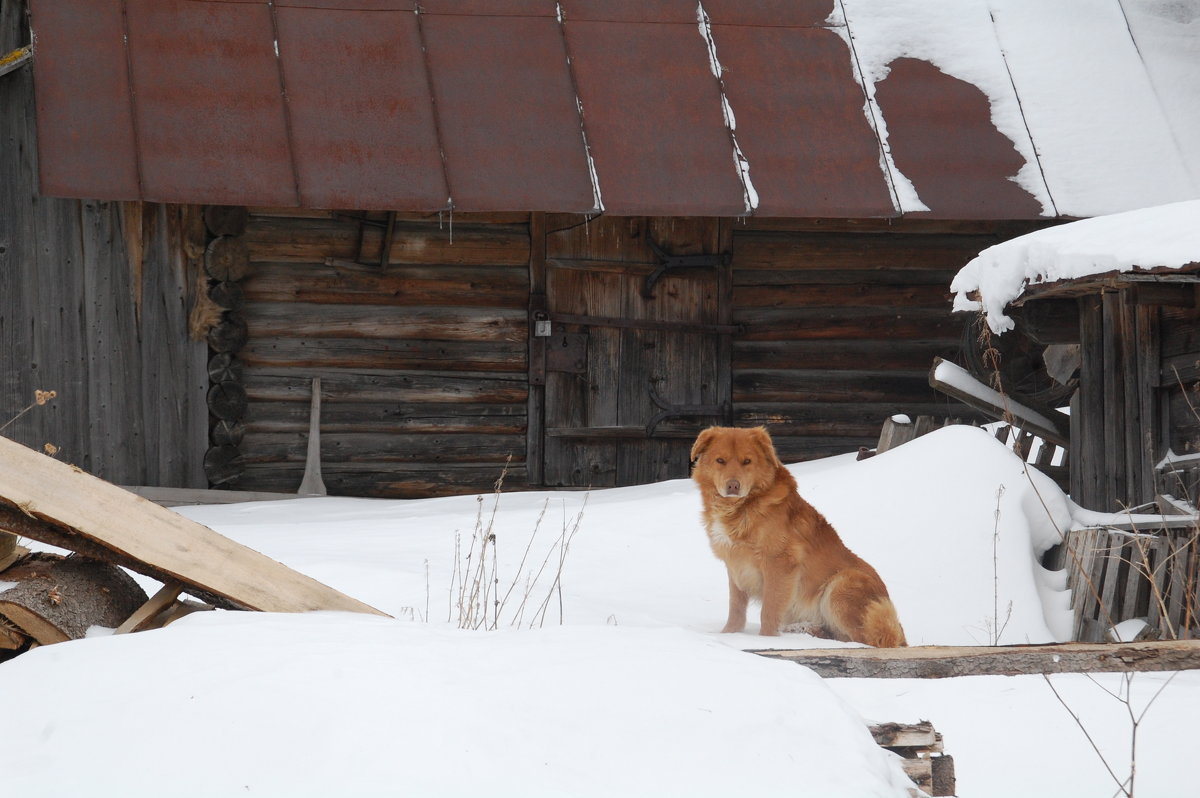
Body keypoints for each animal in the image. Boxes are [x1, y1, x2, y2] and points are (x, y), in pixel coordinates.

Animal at [691, 427, 902, 643]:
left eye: (747, 461)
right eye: (720, 460)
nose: (733, 486)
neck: (741, 508)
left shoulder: (779, 563)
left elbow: (769, 609)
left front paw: (766, 639)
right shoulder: (735, 565)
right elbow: (736, 608)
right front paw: (730, 635)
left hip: (841, 585)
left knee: (869, 639)